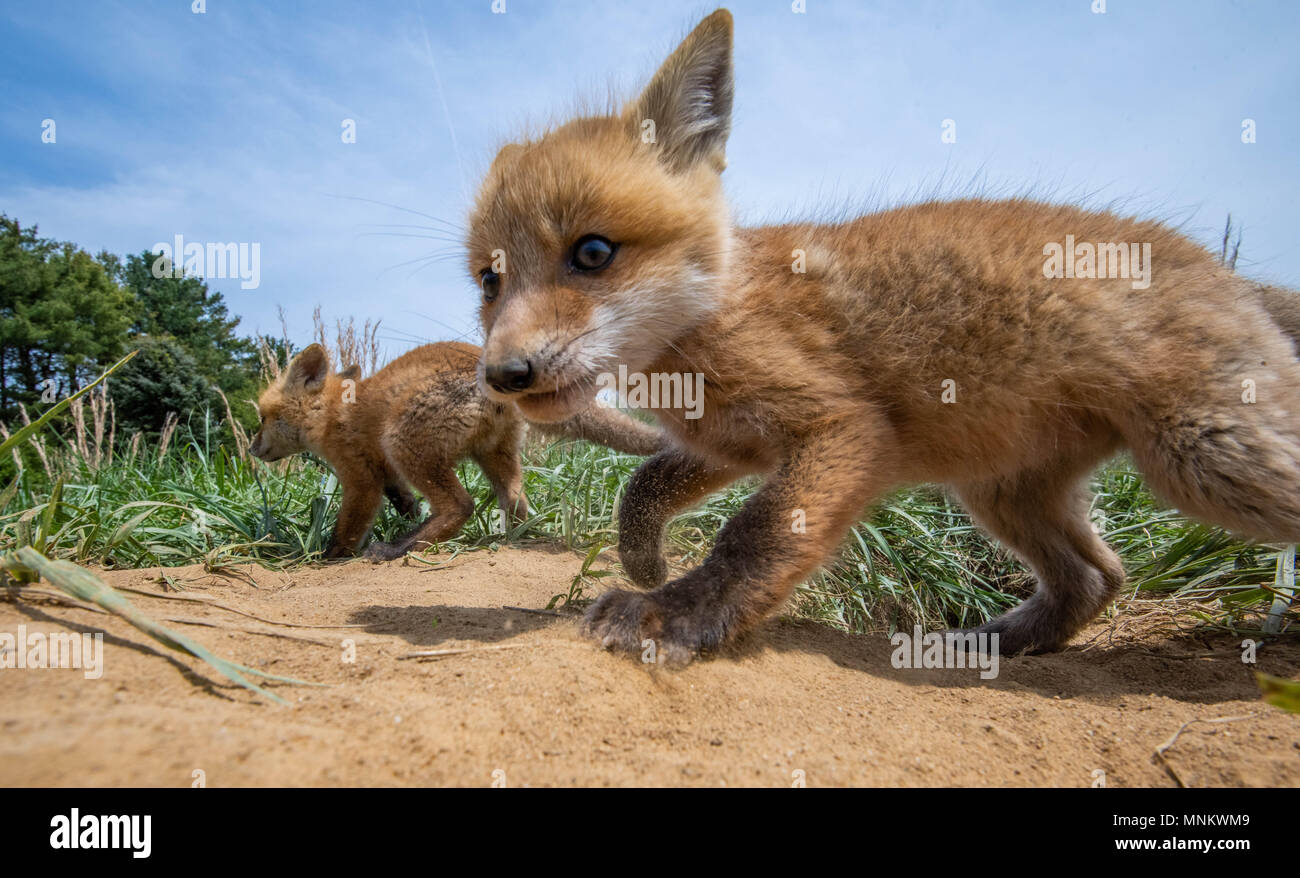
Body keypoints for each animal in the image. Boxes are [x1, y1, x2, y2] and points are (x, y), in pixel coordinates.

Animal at [250, 341, 663, 560]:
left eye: (263, 418)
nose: (252, 449)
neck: (333, 412)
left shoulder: (360, 477)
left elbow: (348, 529)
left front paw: (324, 557)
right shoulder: (385, 469)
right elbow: (401, 497)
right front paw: (408, 512)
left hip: (403, 442)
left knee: (459, 505)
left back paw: (399, 548)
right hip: (494, 455)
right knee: (516, 502)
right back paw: (508, 540)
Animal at [464, 8, 1300, 663]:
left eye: (592, 253)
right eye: (488, 281)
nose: (503, 375)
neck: (711, 321)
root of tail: (1227, 268)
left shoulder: (841, 429)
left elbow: (753, 534)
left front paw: (670, 614)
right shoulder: (732, 441)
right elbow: (645, 482)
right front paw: (645, 562)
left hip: (1205, 458)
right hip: (1003, 493)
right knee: (1100, 577)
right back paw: (993, 642)